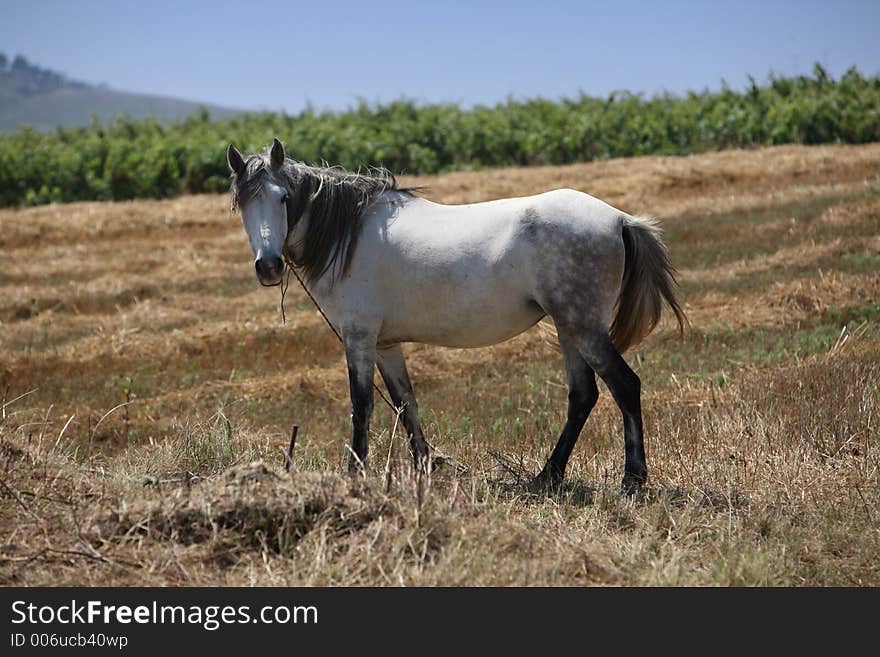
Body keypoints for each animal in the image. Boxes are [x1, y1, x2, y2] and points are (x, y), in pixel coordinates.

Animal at [229, 140, 688, 492]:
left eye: (284, 198)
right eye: (244, 204)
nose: (268, 266)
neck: (350, 236)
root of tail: (620, 219)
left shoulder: (358, 337)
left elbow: (362, 406)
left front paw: (354, 476)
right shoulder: (385, 344)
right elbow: (405, 403)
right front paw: (424, 466)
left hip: (584, 327)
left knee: (625, 387)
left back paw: (631, 480)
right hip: (568, 327)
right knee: (583, 396)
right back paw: (546, 477)